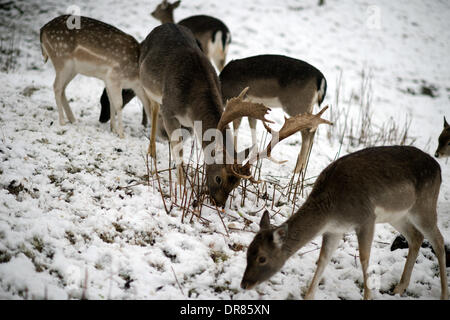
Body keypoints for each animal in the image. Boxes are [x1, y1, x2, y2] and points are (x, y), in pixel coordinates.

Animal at [137, 23, 330, 208]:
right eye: (218, 178)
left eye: (236, 184)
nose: (219, 204)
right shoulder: (169, 110)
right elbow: (179, 149)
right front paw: (181, 186)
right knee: (153, 108)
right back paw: (151, 151)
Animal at [241, 146, 448, 300]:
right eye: (247, 252)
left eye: (262, 258)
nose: (244, 284)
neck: (332, 210)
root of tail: (439, 168)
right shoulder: (334, 230)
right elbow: (323, 259)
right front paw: (308, 295)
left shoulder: (366, 218)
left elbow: (364, 259)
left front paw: (368, 296)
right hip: (398, 216)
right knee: (416, 237)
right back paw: (399, 288)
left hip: (424, 206)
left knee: (438, 241)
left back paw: (443, 294)